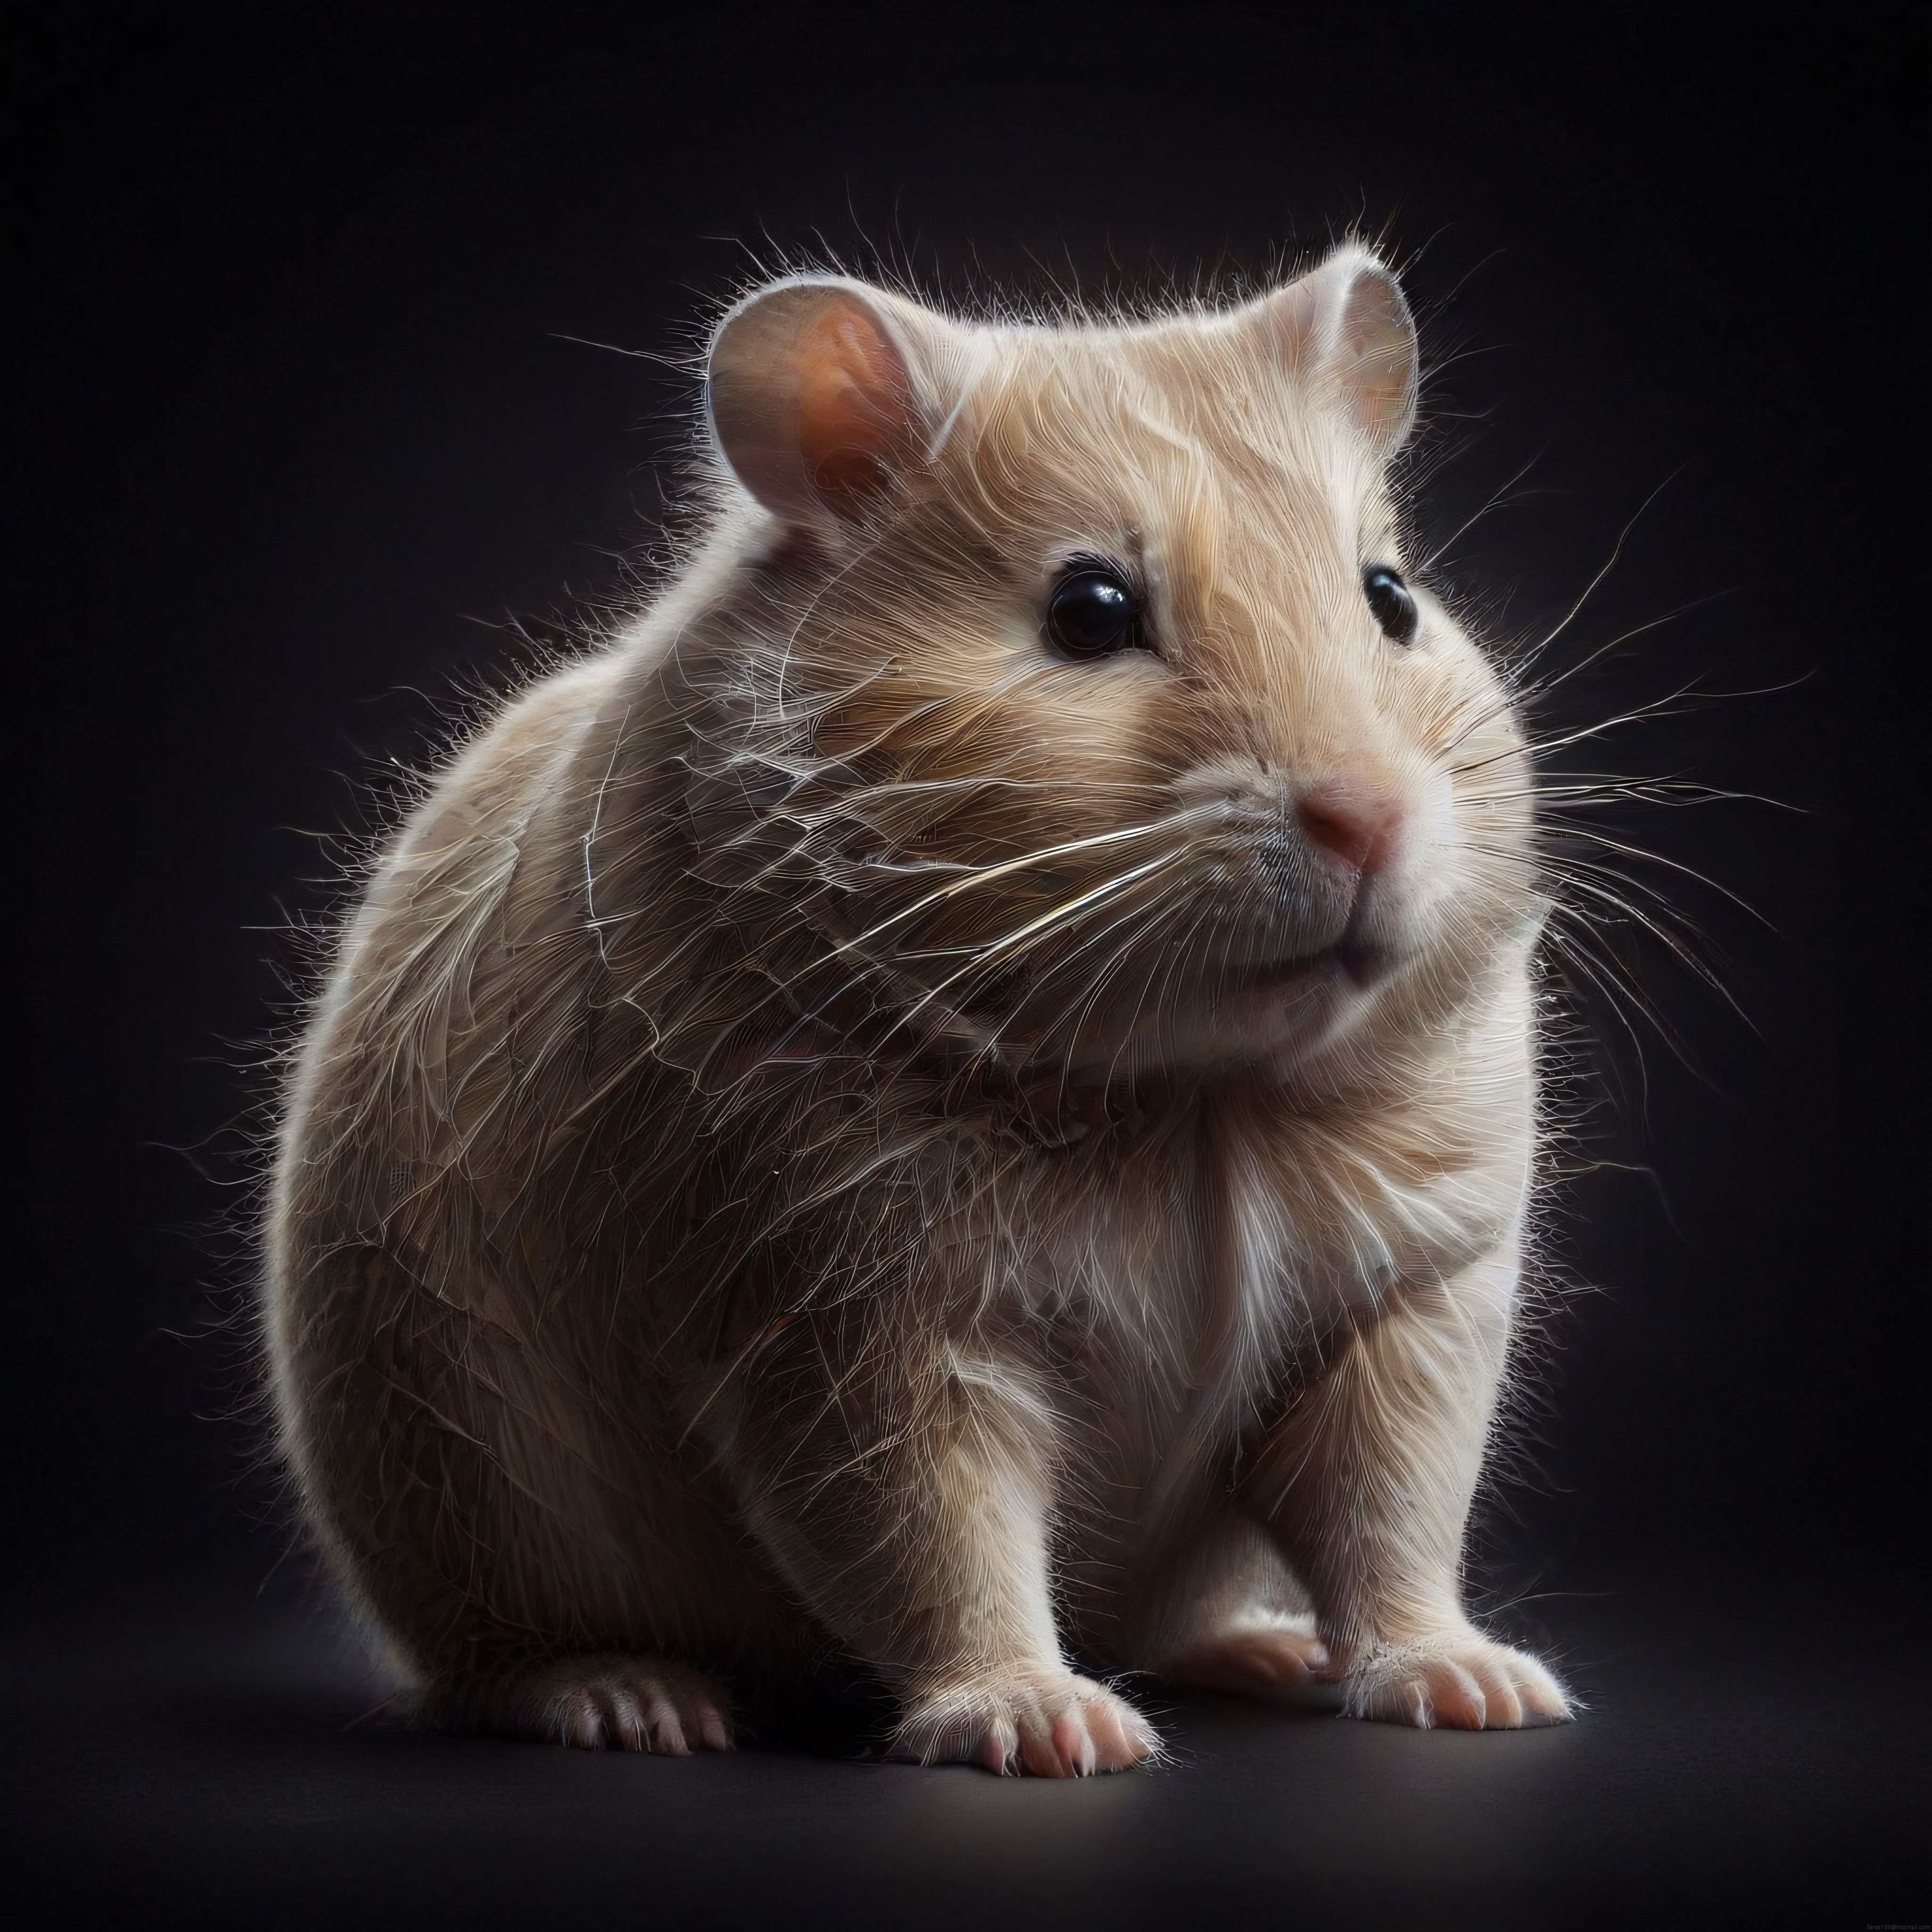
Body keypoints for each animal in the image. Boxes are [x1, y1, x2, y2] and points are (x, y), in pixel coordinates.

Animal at [266, 242, 1571, 1775]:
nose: (1369, 818)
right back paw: (635, 1703)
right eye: (1089, 612)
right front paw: (1054, 1733)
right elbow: (932, 1536)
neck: (1194, 1096)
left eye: (1391, 596)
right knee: (495, 1662)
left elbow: (1395, 1511)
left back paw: (1263, 1648)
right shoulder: (837, 1321)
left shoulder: (1416, 1294)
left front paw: (1487, 1691)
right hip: (463, 1497)